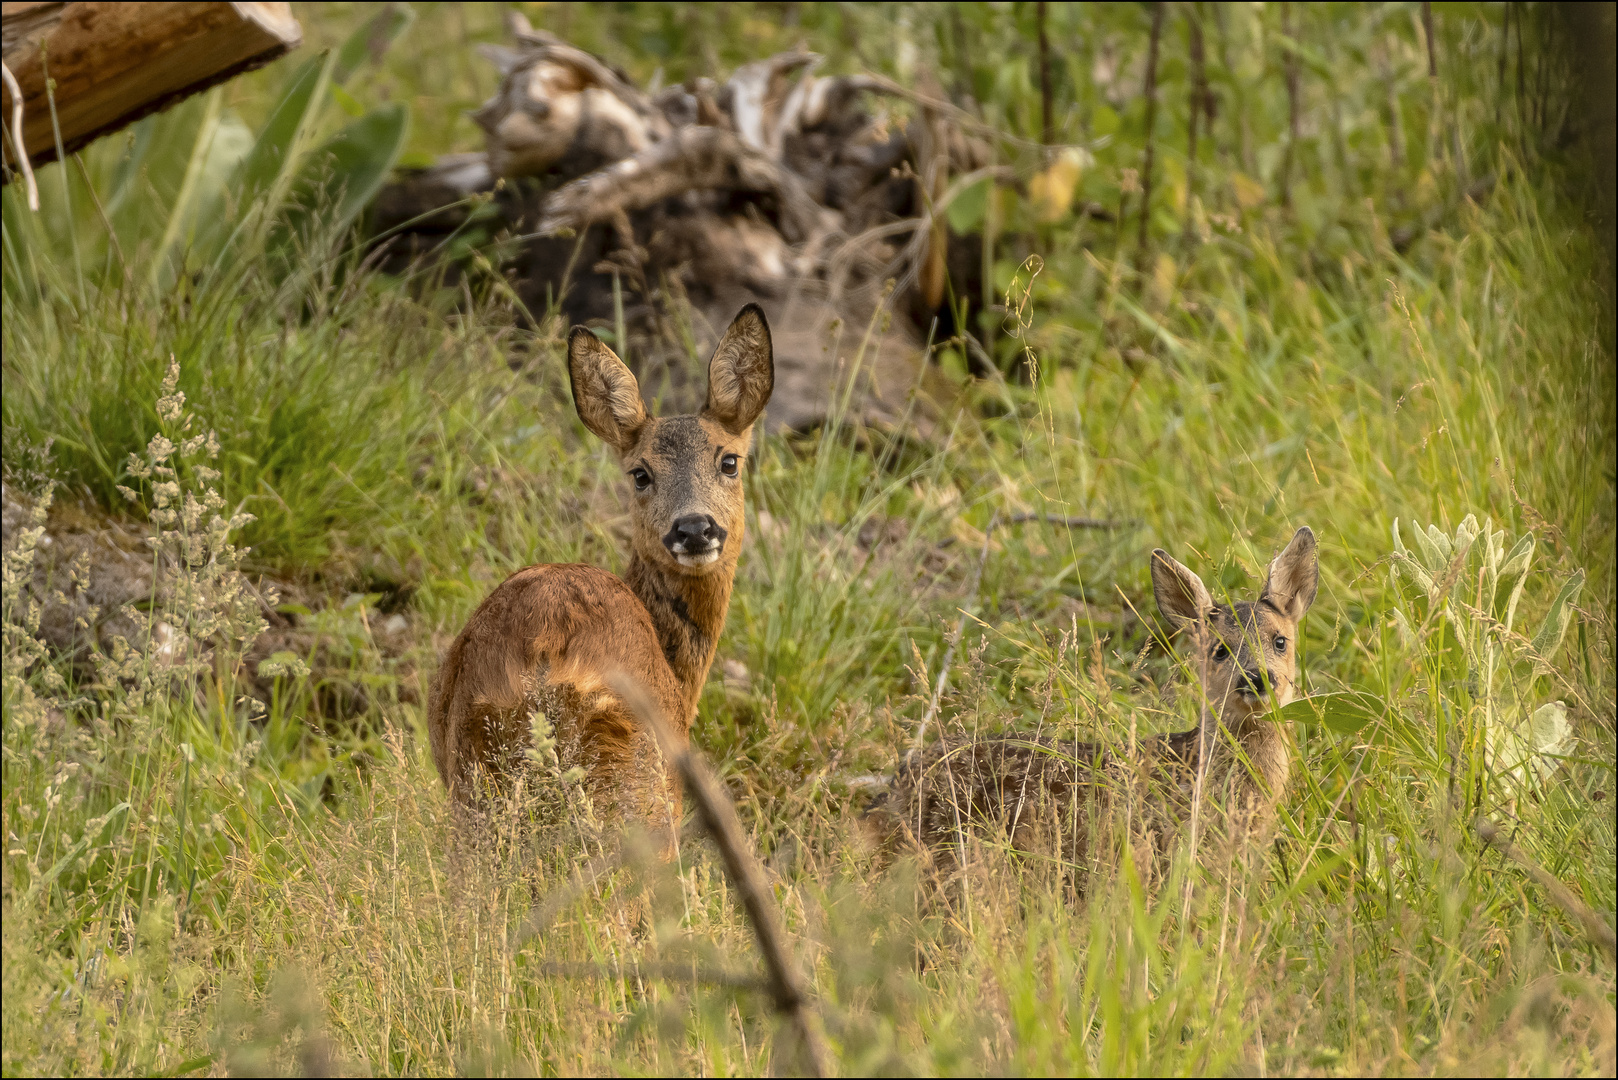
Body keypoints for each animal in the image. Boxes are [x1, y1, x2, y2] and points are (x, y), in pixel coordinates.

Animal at [430, 304, 776, 835]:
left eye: (729, 461)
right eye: (641, 474)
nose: (694, 528)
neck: (681, 676)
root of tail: (544, 646)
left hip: (475, 765)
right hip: (635, 768)